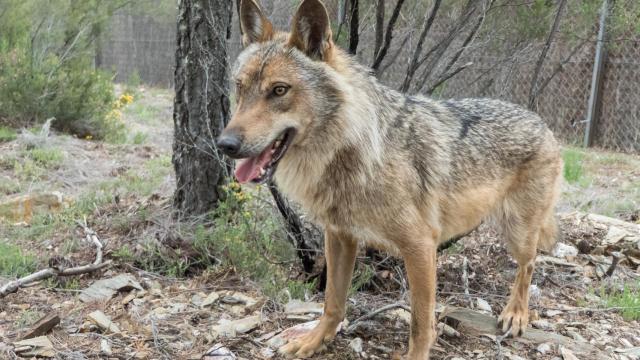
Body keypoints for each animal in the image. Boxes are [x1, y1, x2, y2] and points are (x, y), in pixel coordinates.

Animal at [218, 0, 564, 358]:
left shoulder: (420, 246)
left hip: (518, 233)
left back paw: (516, 315)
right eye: (239, 87)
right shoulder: (339, 236)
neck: (355, 152)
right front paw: (315, 340)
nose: (225, 144)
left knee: (529, 265)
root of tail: (541, 122)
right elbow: (332, 303)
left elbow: (420, 323)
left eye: (279, 90)